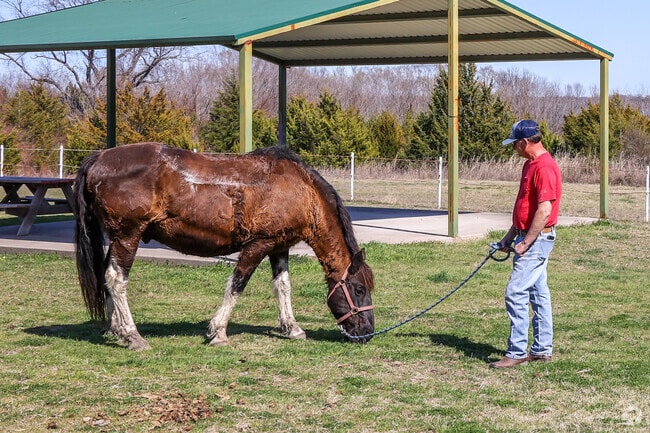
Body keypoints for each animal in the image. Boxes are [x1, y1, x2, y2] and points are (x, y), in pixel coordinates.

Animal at [74, 142, 375, 350]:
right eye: (359, 290)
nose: (368, 332)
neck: (300, 189)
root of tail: (99, 157)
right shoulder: (258, 244)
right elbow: (237, 284)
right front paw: (217, 331)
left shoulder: (279, 246)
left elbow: (283, 286)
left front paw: (292, 328)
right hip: (128, 236)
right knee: (117, 279)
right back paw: (132, 335)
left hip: (118, 239)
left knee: (108, 277)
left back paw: (116, 329)